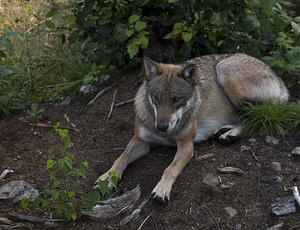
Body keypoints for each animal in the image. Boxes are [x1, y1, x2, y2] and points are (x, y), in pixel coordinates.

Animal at [95, 53, 288, 202]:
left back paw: (231, 134)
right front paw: (107, 178)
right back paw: (225, 130)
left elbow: (170, 168)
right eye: (156, 97)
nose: (161, 127)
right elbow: (120, 158)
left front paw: (162, 189)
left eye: (176, 99)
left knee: (259, 115)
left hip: (225, 71)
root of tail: (277, 77)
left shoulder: (187, 145)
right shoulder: (141, 140)